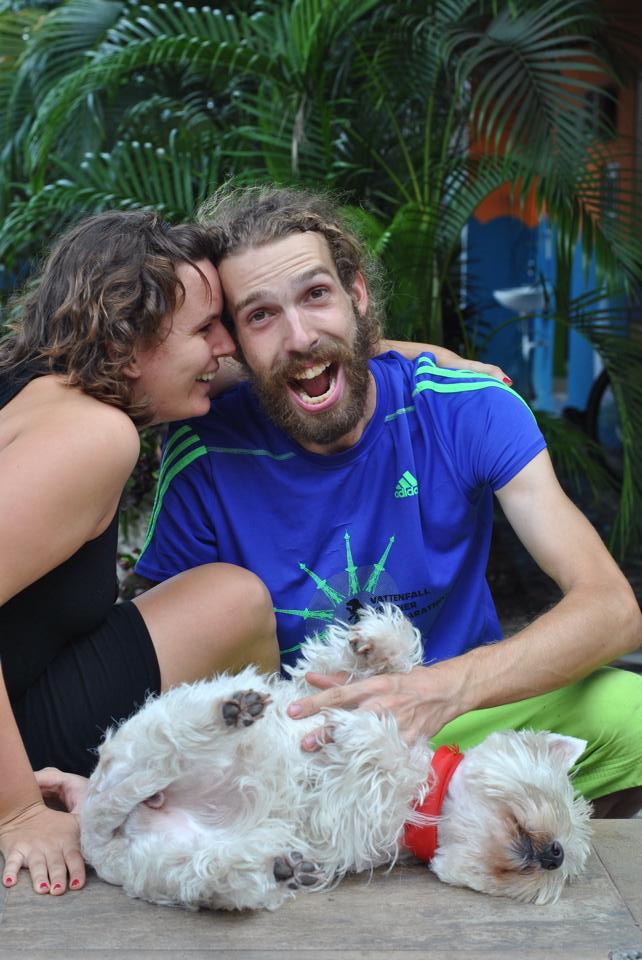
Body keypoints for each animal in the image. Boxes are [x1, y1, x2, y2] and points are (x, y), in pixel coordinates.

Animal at [79, 604, 592, 911]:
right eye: (554, 796)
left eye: (565, 870)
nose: (555, 854)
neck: (431, 799)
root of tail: (101, 840)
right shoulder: (316, 688)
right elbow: (359, 667)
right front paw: (375, 642)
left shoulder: (356, 817)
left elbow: (379, 754)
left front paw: (358, 731)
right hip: (147, 742)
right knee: (172, 739)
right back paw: (229, 712)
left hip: (173, 863)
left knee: (210, 872)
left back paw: (277, 866)